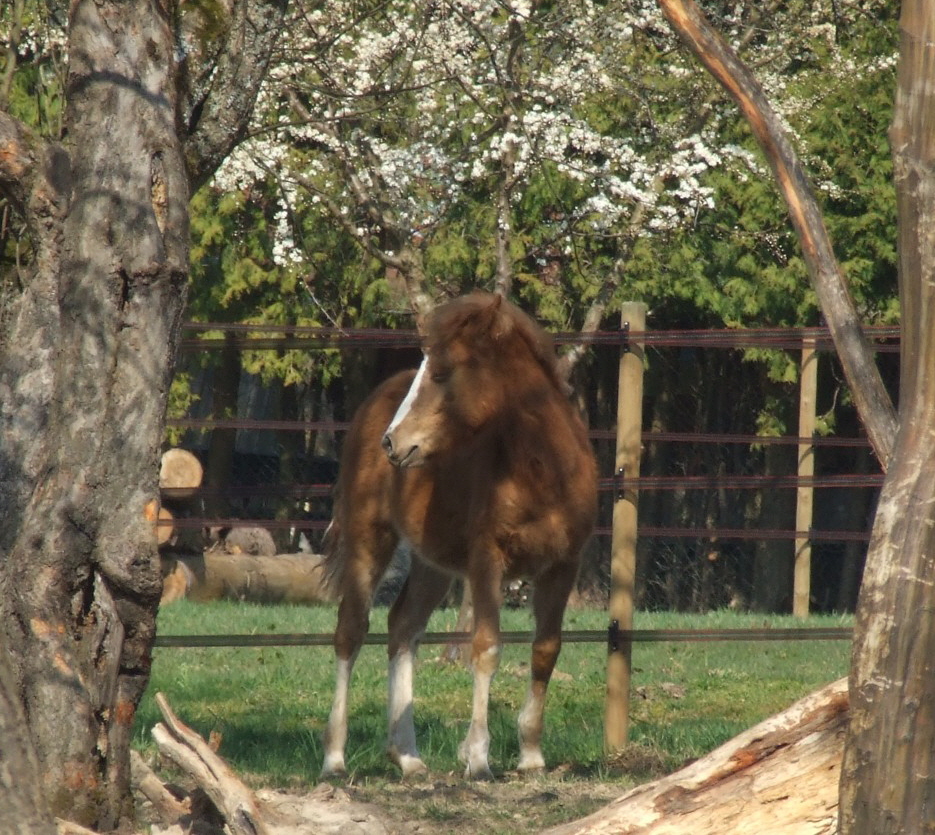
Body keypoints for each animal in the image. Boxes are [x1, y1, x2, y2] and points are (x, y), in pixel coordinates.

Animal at [322, 290, 600, 780]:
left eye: (442, 372)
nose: (392, 442)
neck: (544, 474)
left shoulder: (563, 565)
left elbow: (546, 649)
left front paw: (531, 755)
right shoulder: (488, 559)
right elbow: (486, 647)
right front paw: (478, 757)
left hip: (432, 562)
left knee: (403, 627)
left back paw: (408, 757)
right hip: (368, 537)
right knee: (350, 631)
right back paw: (335, 759)